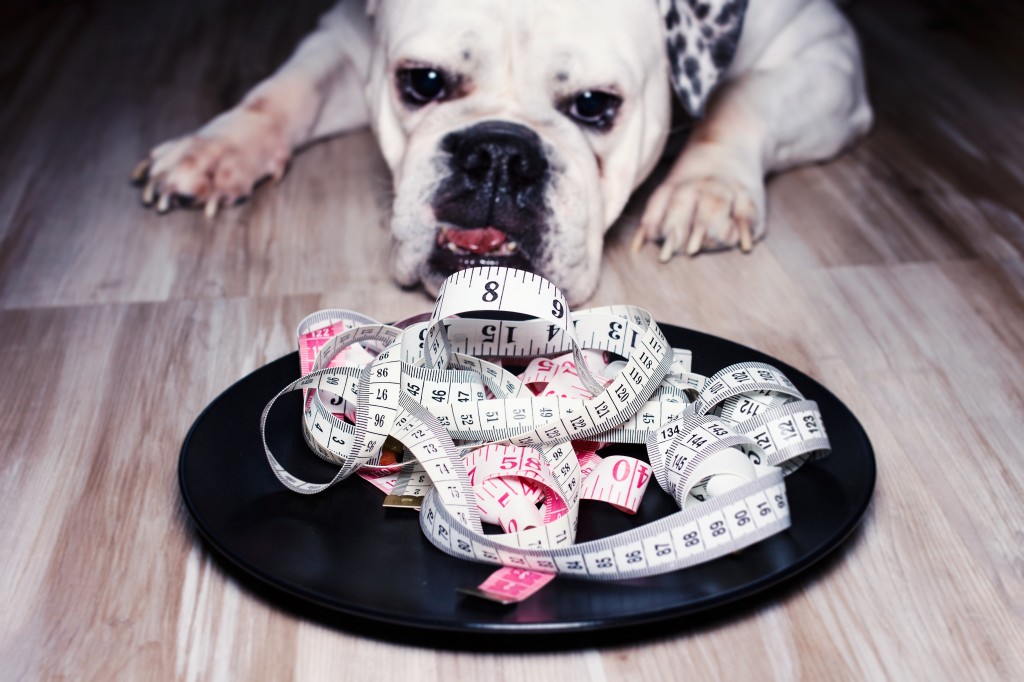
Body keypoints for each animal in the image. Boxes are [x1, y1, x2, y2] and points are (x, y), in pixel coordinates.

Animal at [132, 0, 872, 303]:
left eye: (595, 105)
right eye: (422, 82)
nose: (498, 154)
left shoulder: (824, 49)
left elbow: (744, 99)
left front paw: (705, 190)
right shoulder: (344, 36)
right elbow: (287, 89)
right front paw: (217, 147)